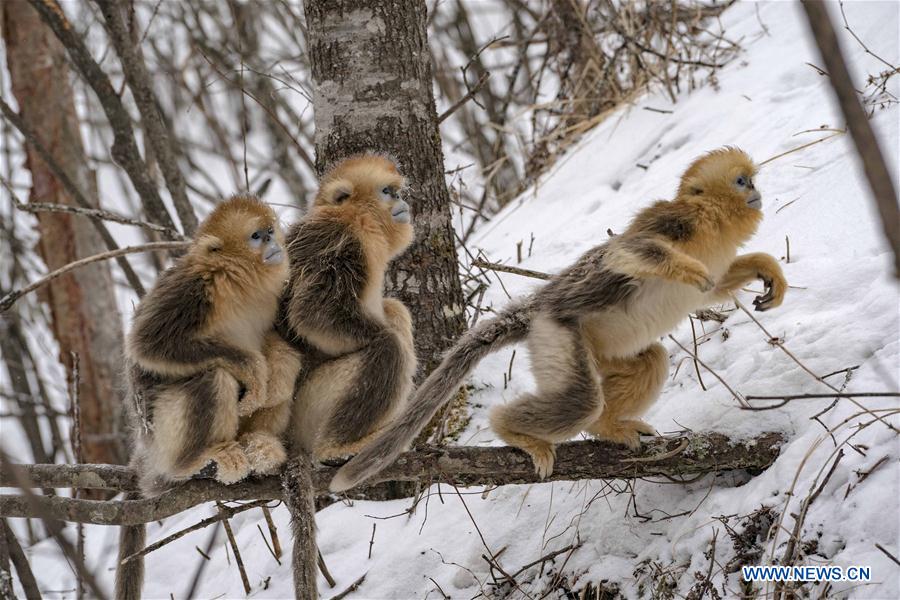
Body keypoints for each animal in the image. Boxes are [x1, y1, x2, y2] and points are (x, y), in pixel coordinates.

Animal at [114, 197, 298, 600]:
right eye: (256, 236)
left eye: (271, 230)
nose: (274, 243)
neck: (237, 285)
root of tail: (147, 450)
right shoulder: (192, 289)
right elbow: (147, 344)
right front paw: (251, 367)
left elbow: (279, 349)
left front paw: (274, 371)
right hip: (164, 432)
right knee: (214, 378)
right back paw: (197, 461)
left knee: (281, 382)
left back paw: (259, 445)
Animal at [278, 154, 418, 460]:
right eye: (387, 192)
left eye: (396, 190)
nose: (401, 200)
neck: (358, 218)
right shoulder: (339, 242)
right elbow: (311, 314)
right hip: (308, 405)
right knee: (390, 347)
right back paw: (337, 448)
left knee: (395, 310)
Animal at [330, 146, 788, 492]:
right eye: (742, 181)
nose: (757, 192)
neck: (713, 224)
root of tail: (536, 307)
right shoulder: (672, 221)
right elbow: (624, 252)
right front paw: (686, 269)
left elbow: (715, 288)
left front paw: (769, 272)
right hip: (555, 333)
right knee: (580, 398)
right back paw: (514, 430)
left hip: (599, 347)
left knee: (650, 360)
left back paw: (608, 426)